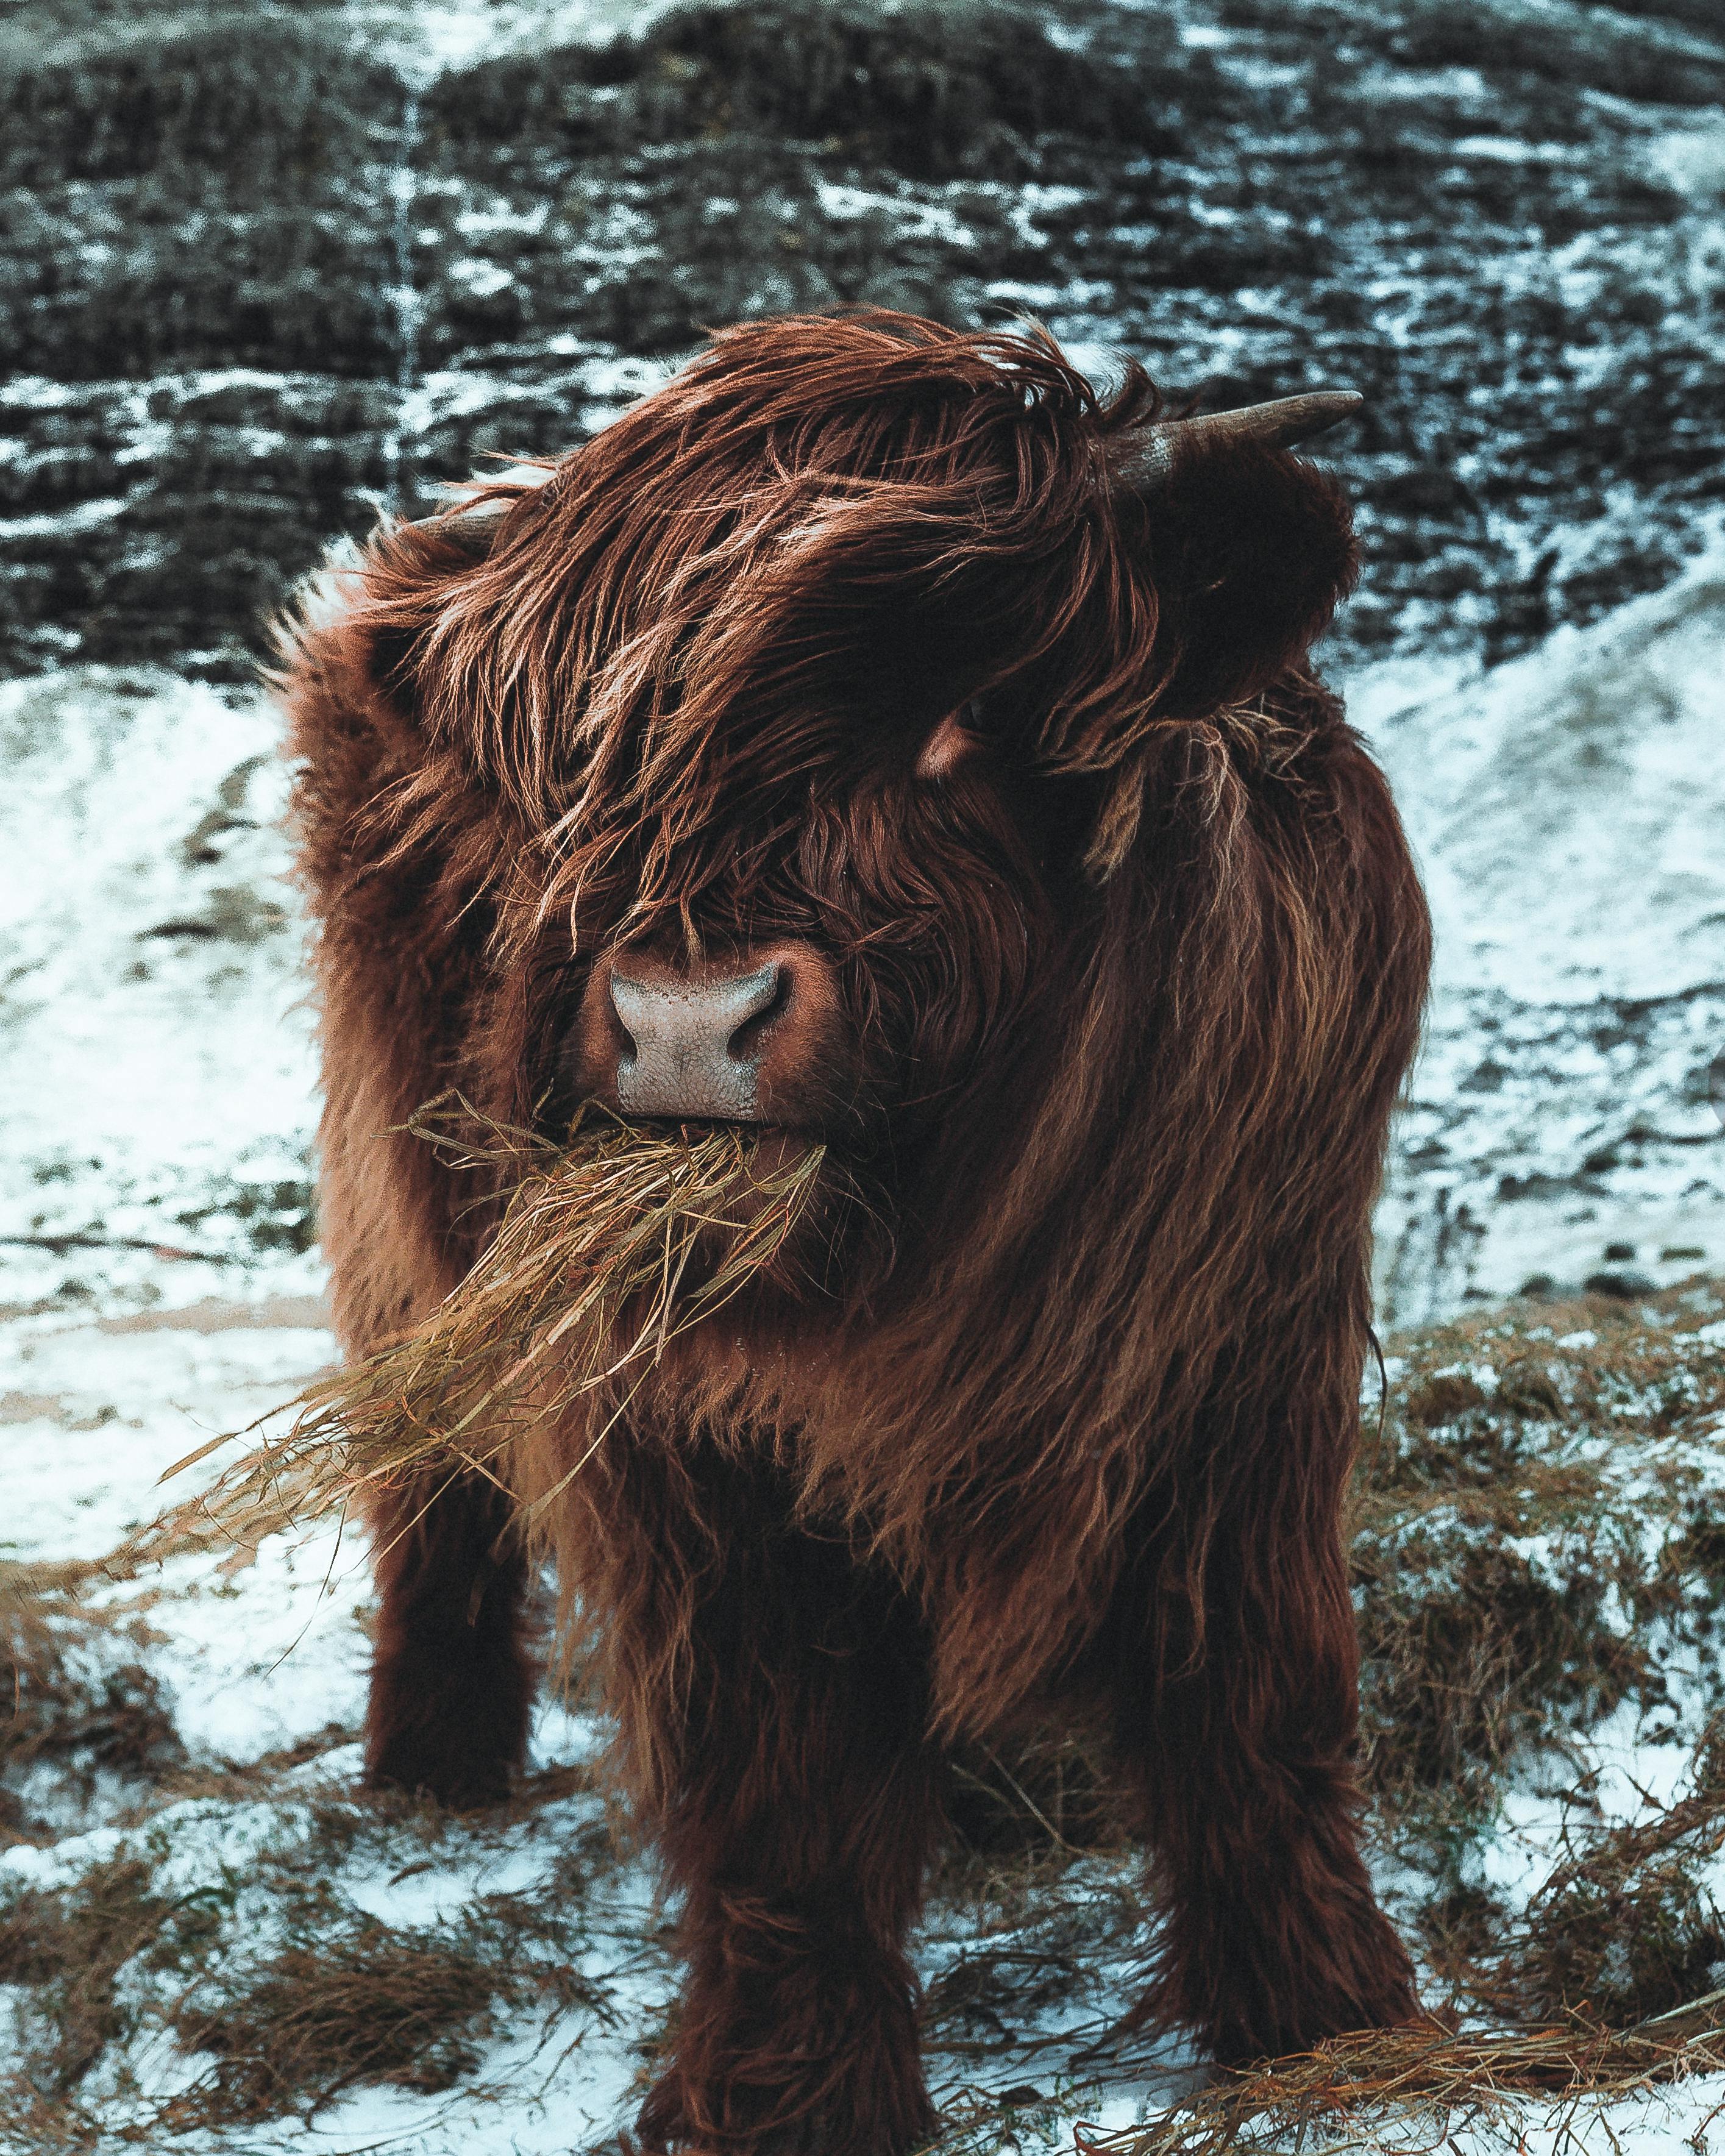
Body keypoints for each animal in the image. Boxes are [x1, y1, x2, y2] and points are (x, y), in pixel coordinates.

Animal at [281, 310, 1429, 2154]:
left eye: (960, 713)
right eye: (576, 771)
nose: (687, 1022)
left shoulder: (1247, 1341)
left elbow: (1247, 1683)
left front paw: (1321, 2012)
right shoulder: (677, 1425)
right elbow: (784, 1775)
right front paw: (794, 2095)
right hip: (399, 1205)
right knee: (431, 1477)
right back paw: (434, 1772)